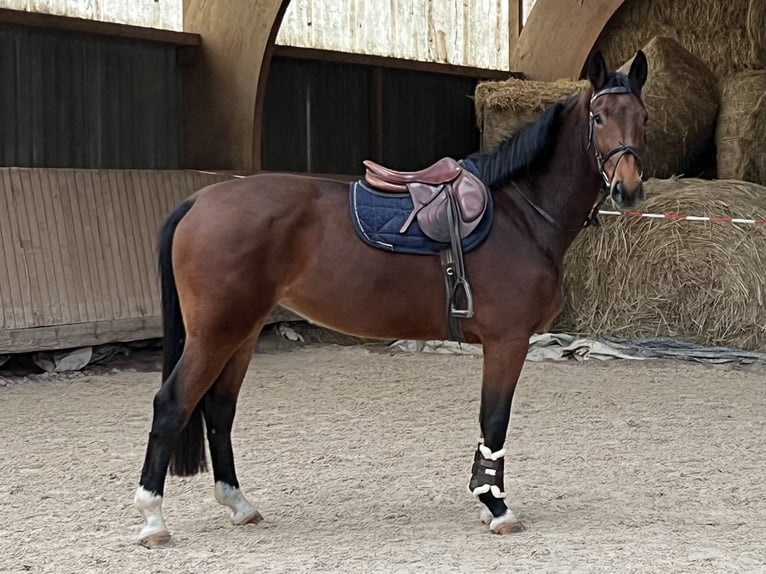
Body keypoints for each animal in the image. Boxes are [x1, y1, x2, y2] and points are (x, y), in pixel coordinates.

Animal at [136, 50, 648, 548]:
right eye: (598, 117)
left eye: (642, 117)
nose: (628, 190)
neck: (518, 215)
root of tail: (199, 200)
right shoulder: (507, 341)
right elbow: (494, 419)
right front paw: (496, 505)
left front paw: (486, 500)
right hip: (215, 334)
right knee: (172, 404)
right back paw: (152, 519)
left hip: (241, 332)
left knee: (220, 408)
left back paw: (239, 504)